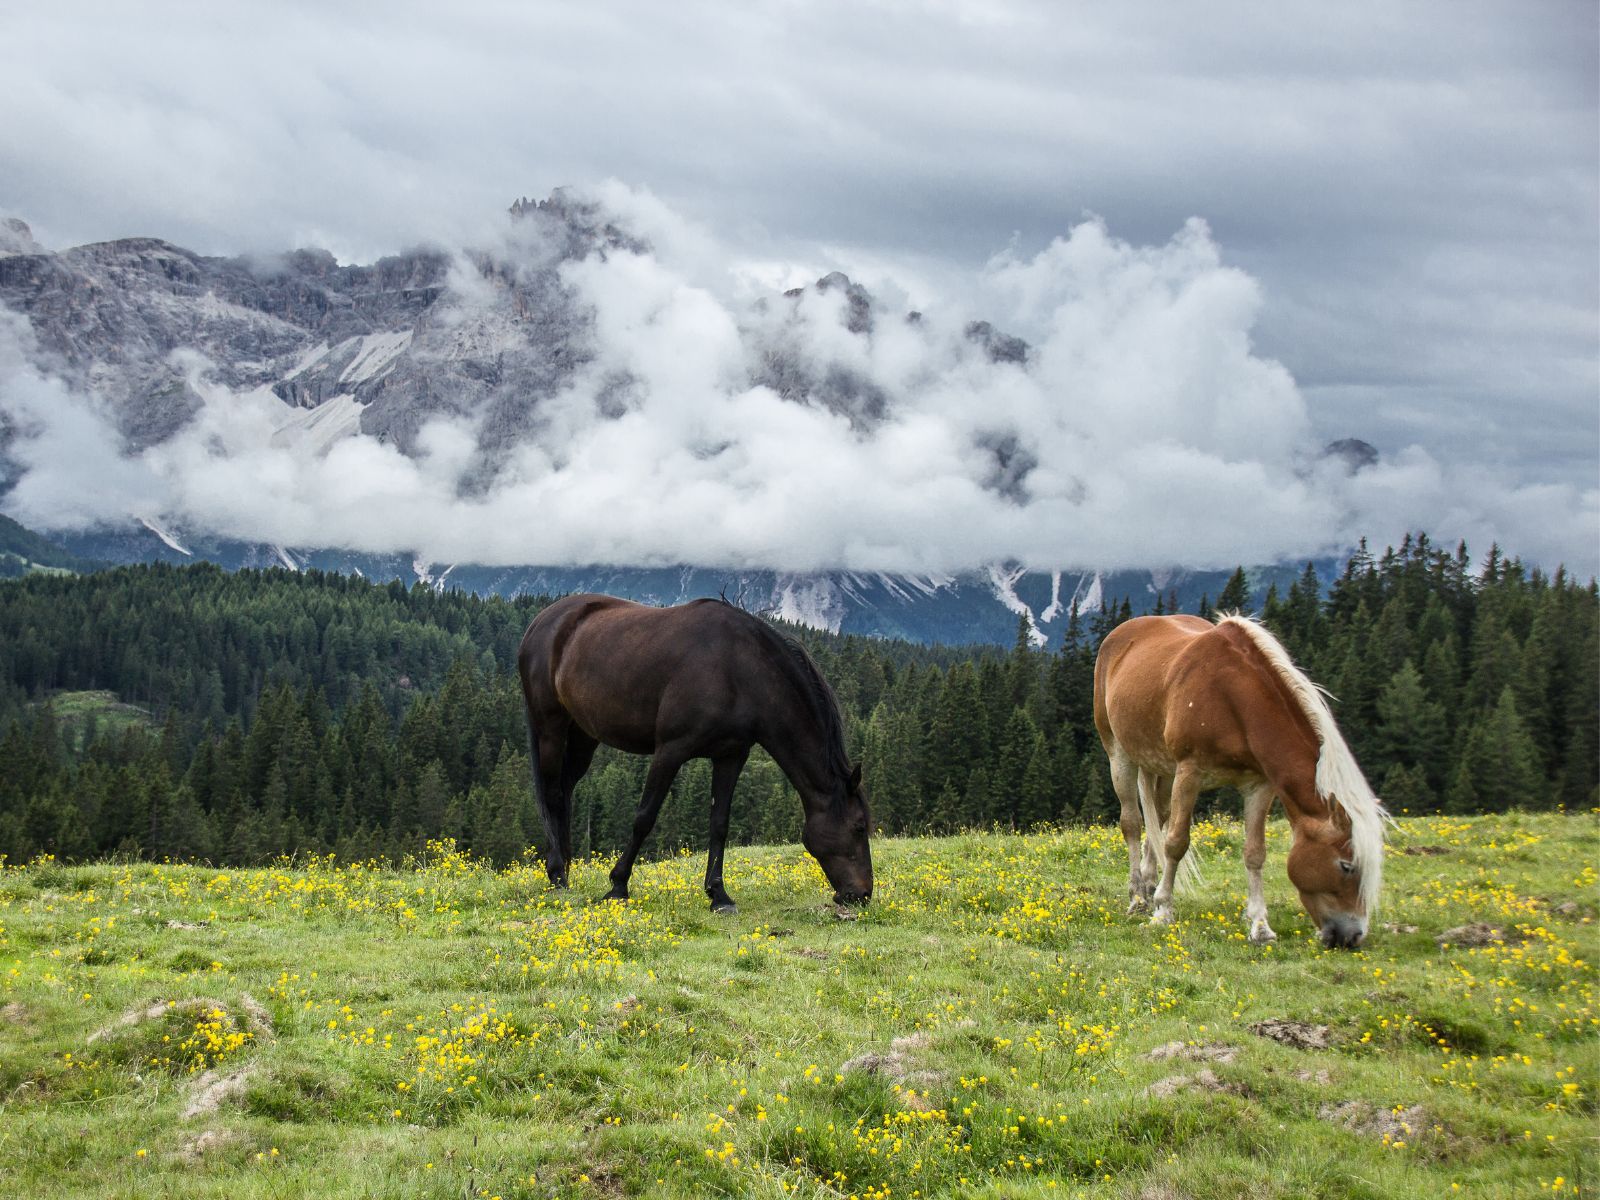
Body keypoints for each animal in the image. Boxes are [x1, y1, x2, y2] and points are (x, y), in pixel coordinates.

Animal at [516, 593, 872, 912]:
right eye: (859, 827)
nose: (861, 894)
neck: (739, 669)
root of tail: (541, 623)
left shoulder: (730, 756)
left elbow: (719, 824)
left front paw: (718, 895)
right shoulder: (670, 751)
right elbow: (644, 818)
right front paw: (618, 885)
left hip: (584, 735)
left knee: (565, 791)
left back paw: (565, 871)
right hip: (550, 726)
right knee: (553, 795)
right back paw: (557, 875)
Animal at [1093, 613, 1387, 949]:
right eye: (1346, 866)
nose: (1352, 936)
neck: (1233, 697)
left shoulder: (1259, 785)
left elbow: (1255, 852)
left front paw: (1260, 926)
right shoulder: (1190, 772)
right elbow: (1176, 842)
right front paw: (1163, 911)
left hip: (1161, 767)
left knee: (1158, 817)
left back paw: (1148, 884)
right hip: (1119, 753)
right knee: (1132, 823)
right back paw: (1138, 898)